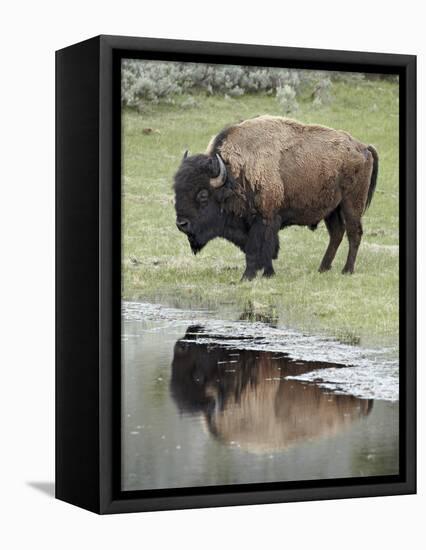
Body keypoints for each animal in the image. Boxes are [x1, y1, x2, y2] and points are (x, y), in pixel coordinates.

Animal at [174, 115, 380, 280]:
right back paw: (322, 268)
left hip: (351, 204)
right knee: (337, 233)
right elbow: (266, 250)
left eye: (203, 194)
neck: (233, 176)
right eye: (176, 190)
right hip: (332, 209)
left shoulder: (264, 219)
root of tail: (363, 147)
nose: (181, 224)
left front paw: (247, 277)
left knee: (354, 233)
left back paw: (347, 270)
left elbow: (256, 249)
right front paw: (268, 273)